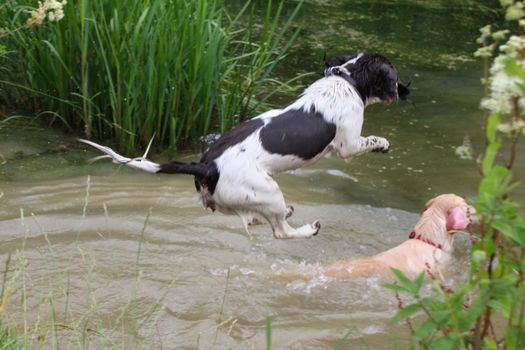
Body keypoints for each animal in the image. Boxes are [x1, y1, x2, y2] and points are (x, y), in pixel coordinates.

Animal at [81, 51, 410, 238]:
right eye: (394, 77)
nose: (406, 90)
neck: (346, 81)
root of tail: (208, 166)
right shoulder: (349, 144)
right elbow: (371, 141)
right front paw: (384, 144)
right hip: (268, 190)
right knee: (280, 232)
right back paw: (308, 228)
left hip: (233, 200)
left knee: (254, 219)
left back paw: (287, 212)